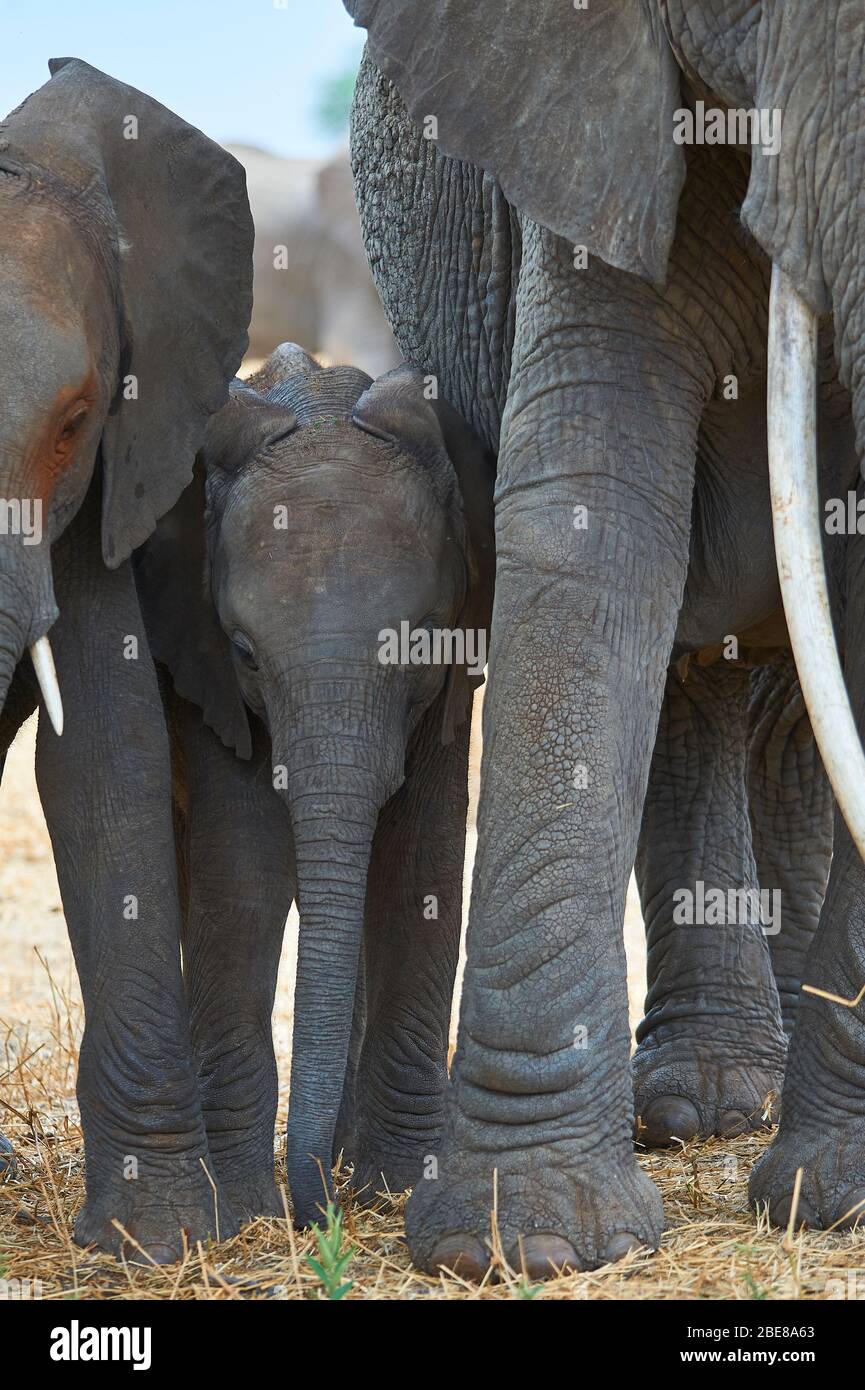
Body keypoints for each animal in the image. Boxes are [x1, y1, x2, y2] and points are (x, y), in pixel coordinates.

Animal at [135, 341, 495, 1223]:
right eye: (243, 651)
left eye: (423, 641)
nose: (314, 1214)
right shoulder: (204, 668)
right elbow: (245, 876)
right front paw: (243, 1208)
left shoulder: (449, 685)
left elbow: (419, 869)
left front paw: (395, 1186)